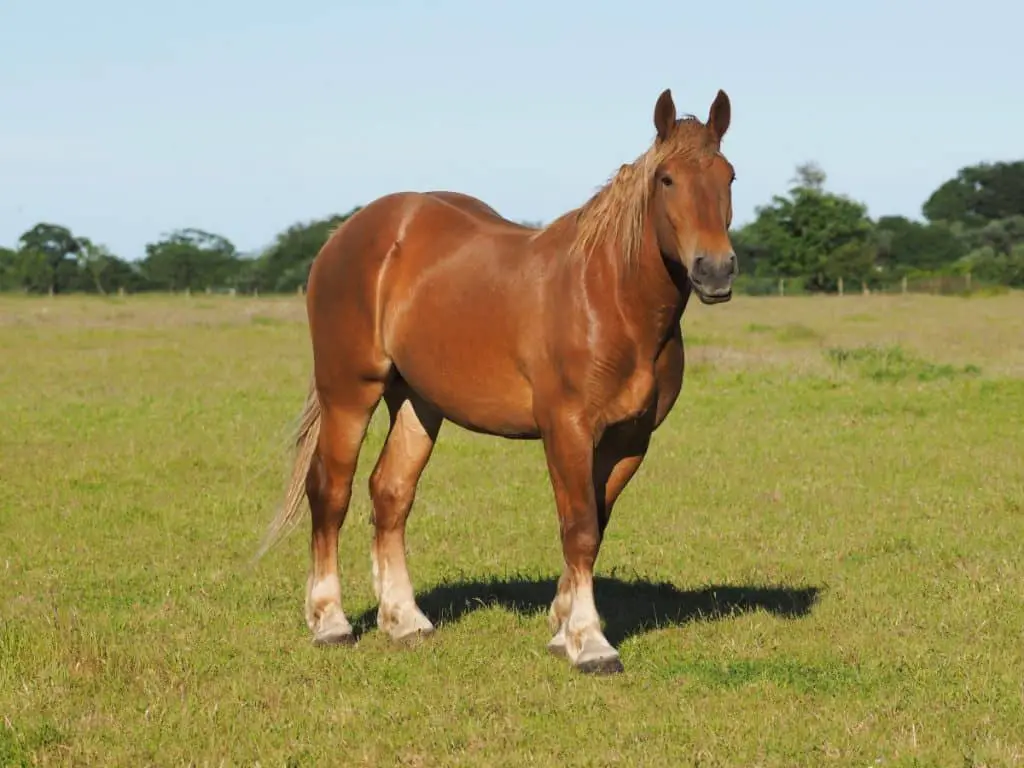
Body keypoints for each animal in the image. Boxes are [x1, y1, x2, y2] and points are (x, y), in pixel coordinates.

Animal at [254, 87, 737, 671]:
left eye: (729, 176)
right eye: (666, 179)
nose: (716, 270)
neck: (610, 298)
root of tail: (346, 234)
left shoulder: (630, 439)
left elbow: (594, 525)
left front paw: (562, 627)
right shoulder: (567, 429)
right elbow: (579, 527)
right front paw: (590, 642)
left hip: (418, 403)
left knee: (390, 493)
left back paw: (405, 620)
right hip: (349, 390)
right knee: (331, 490)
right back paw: (330, 621)